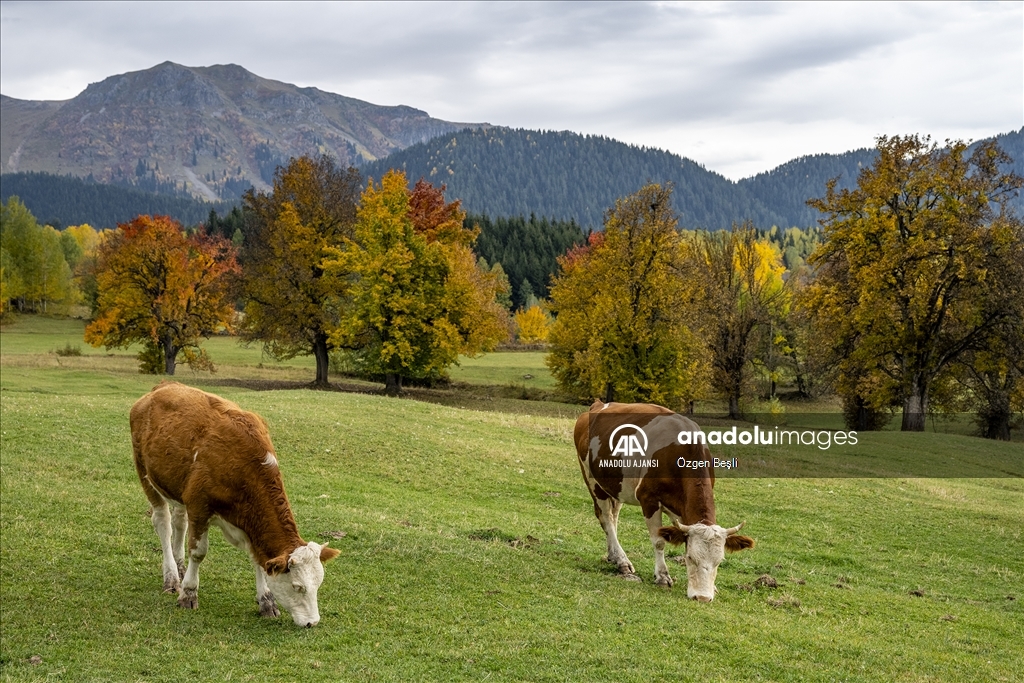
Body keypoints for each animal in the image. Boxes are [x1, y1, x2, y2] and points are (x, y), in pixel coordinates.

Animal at [130, 382, 339, 626]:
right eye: (297, 587)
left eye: (319, 584)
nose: (312, 622)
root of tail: (163, 386)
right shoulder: (199, 506)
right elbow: (198, 552)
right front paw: (189, 593)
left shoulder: (247, 521)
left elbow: (257, 558)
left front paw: (266, 600)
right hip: (145, 473)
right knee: (163, 522)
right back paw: (172, 577)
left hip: (177, 487)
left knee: (179, 522)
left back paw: (180, 568)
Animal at [573, 397, 757, 602]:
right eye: (690, 558)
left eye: (719, 561)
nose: (702, 597)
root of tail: (598, 404)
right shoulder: (649, 500)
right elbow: (659, 541)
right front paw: (662, 576)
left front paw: (714, 587)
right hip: (592, 480)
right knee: (605, 518)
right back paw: (622, 561)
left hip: (616, 485)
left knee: (614, 517)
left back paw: (613, 555)